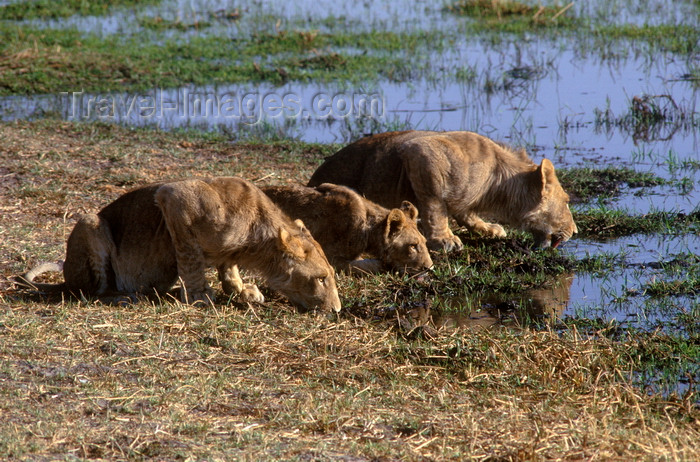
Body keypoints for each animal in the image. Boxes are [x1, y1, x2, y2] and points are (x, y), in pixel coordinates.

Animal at [15, 177, 344, 314]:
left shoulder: (230, 252)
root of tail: (65, 277)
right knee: (91, 290)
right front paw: (199, 295)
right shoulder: (175, 199)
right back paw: (125, 296)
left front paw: (241, 290)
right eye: (321, 279)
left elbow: (228, 267)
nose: (337, 309)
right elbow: (190, 258)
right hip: (90, 223)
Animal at [308, 130, 576, 253]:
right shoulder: (422, 154)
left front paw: (490, 229)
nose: (574, 231)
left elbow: (466, 214)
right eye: (566, 201)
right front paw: (445, 240)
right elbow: (436, 208)